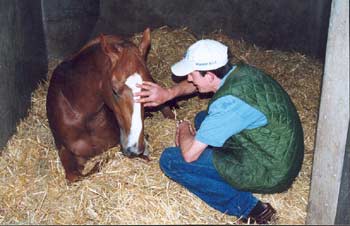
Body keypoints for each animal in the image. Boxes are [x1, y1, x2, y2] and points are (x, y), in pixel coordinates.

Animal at [46, 28, 172, 183]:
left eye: (146, 88)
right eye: (114, 90)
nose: (135, 148)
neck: (81, 113)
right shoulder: (64, 149)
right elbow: (74, 176)